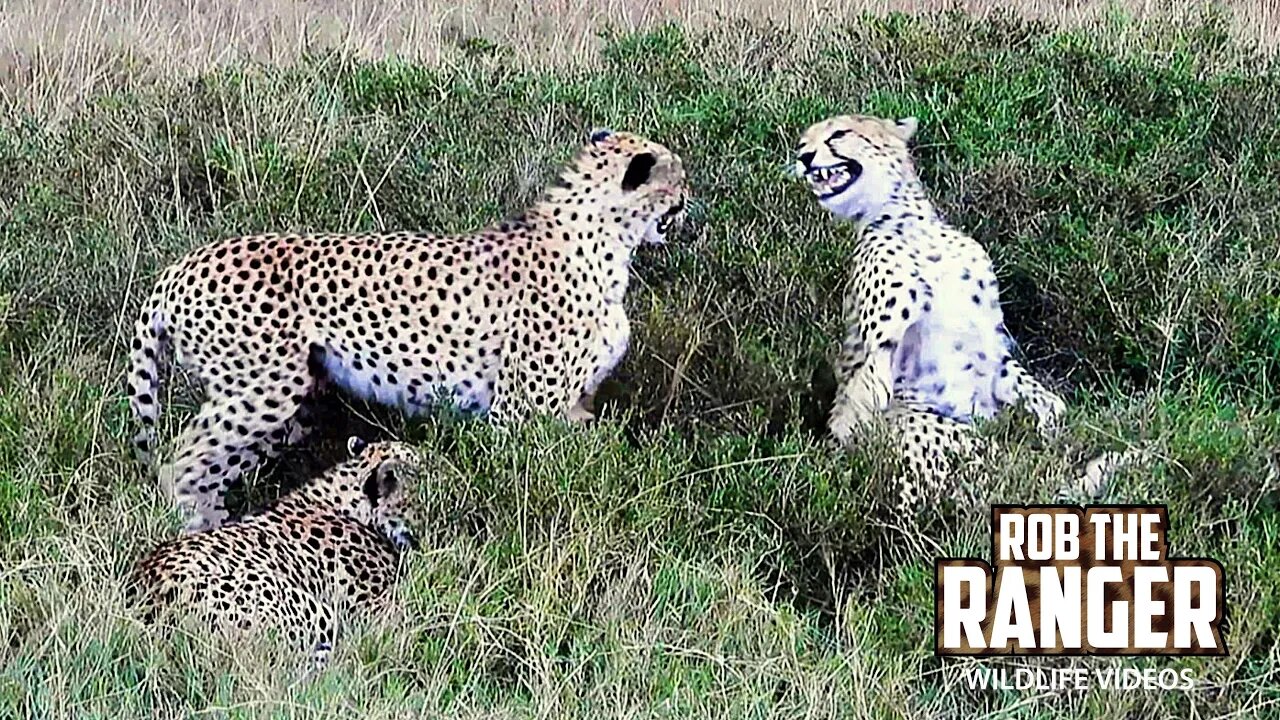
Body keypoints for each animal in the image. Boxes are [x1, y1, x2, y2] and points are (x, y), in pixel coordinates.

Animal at [128, 130, 686, 532]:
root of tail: (180, 267)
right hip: (261, 390)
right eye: (676, 183)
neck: (604, 243)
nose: (690, 204)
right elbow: (524, 480)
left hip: (289, 402)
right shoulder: (518, 412)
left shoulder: (572, 408)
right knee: (179, 461)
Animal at [793, 113, 1064, 504]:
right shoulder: (880, 346)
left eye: (839, 133)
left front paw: (1051, 418)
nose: (803, 157)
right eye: (803, 142)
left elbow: (1028, 385)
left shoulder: (990, 340)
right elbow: (863, 384)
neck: (908, 223)